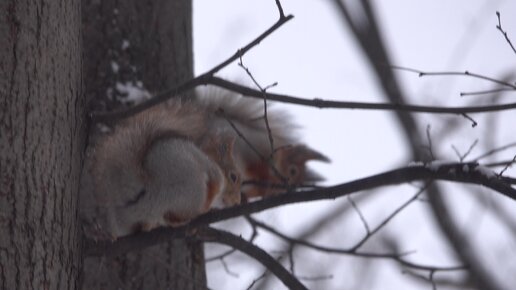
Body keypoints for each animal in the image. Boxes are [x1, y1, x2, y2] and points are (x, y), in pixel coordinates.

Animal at [79, 102, 241, 240]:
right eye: (233, 177)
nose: (237, 202)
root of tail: (146, 195)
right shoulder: (213, 171)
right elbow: (215, 184)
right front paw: (210, 209)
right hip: (191, 187)